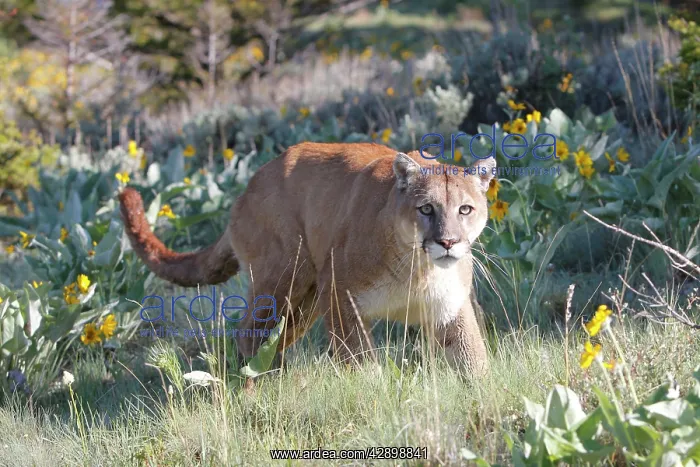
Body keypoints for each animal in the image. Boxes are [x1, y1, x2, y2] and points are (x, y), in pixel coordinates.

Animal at [119, 142, 495, 374]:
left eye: (465, 209)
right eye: (426, 208)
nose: (448, 241)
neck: (418, 269)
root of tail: (246, 189)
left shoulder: (451, 307)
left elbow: (472, 358)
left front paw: (480, 393)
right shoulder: (340, 295)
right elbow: (360, 359)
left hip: (305, 302)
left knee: (273, 338)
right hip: (285, 276)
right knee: (249, 332)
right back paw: (267, 382)